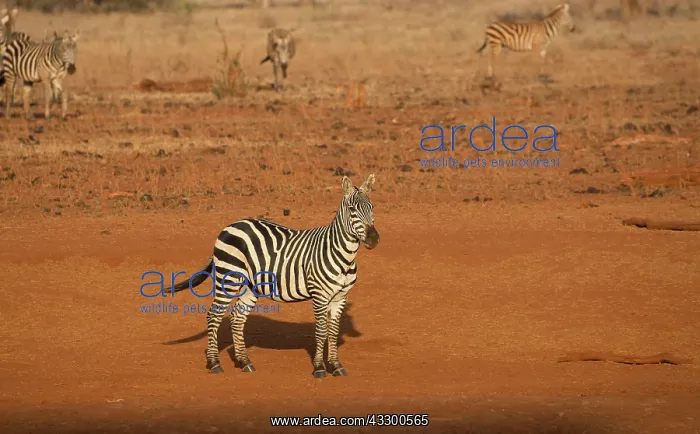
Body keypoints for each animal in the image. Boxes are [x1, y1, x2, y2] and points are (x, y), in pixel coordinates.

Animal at [164, 174, 380, 378]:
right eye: (352, 209)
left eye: (372, 208)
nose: (373, 239)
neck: (343, 255)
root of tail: (230, 226)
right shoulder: (319, 295)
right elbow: (321, 331)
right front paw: (319, 368)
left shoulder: (340, 297)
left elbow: (333, 332)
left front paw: (335, 366)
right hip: (229, 279)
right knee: (214, 315)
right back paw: (214, 363)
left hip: (250, 286)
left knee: (237, 316)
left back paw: (244, 362)